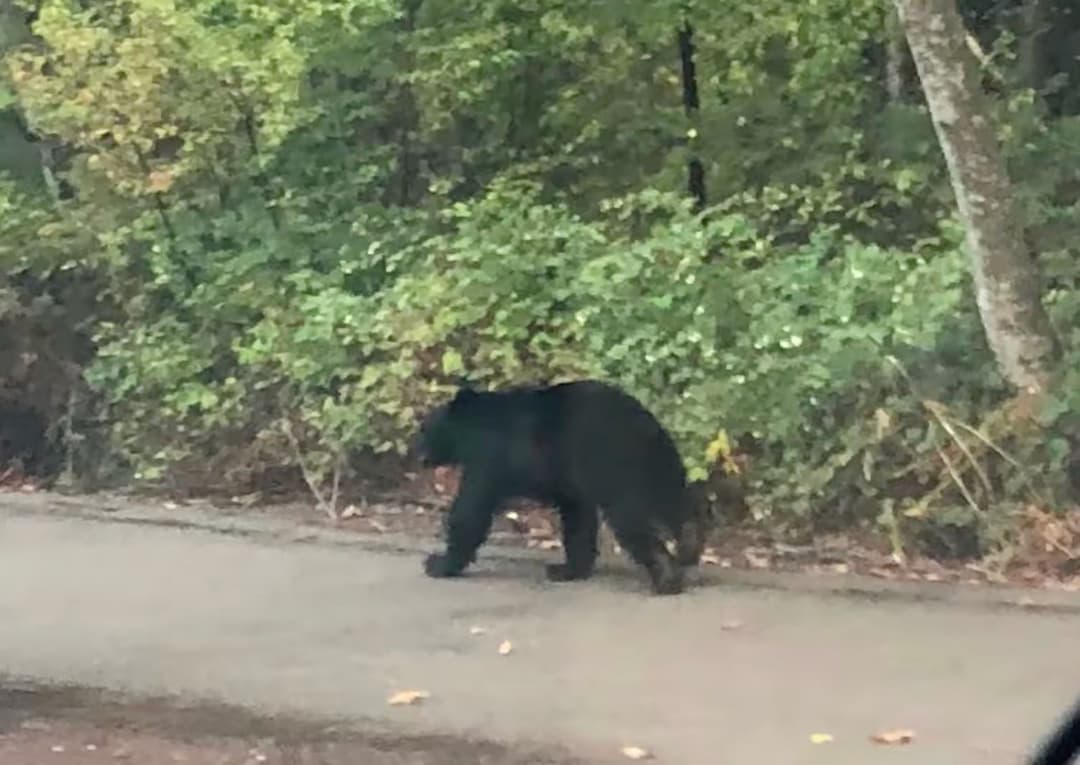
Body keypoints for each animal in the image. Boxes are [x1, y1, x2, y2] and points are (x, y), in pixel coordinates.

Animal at [414, 380, 708, 596]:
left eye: (423, 428)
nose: (415, 451)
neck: (471, 428)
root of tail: (645, 424)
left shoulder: (489, 457)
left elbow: (470, 509)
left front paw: (438, 563)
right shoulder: (570, 480)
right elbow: (577, 517)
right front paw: (567, 569)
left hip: (615, 463)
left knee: (630, 518)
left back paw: (666, 580)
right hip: (658, 463)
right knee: (672, 499)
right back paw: (690, 543)